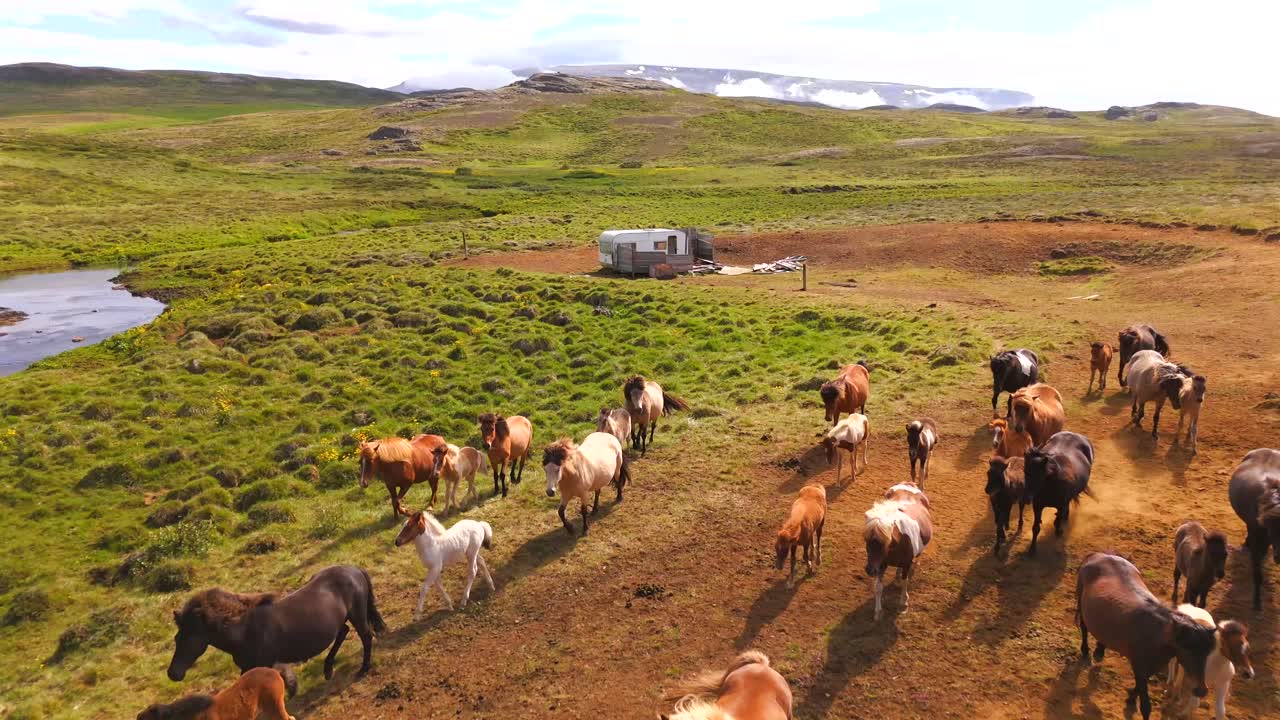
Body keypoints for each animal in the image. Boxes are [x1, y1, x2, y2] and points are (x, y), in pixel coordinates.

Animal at [167, 565, 385, 685]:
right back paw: (328, 669)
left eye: (188, 639)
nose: (172, 674)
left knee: (366, 636)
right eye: (176, 638)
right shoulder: (250, 667)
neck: (244, 631)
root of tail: (355, 569)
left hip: (357, 614)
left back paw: (363, 669)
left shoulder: (261, 664)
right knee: (343, 632)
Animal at [863, 483, 932, 621]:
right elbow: (878, 587)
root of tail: (909, 484)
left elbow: (905, 582)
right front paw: (878, 611)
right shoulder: (881, 565)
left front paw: (903, 603)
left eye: (883, 544)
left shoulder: (906, 564)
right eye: (866, 540)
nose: (869, 570)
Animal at [1076, 551, 1216, 720]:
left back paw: (1099, 651)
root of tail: (1099, 554)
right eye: (1188, 650)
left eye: (1207, 653)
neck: (1156, 636)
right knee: (1084, 628)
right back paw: (1085, 651)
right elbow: (1145, 706)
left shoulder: (1148, 669)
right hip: (1082, 607)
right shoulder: (1140, 668)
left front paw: (1130, 699)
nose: (1201, 690)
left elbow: (1137, 688)